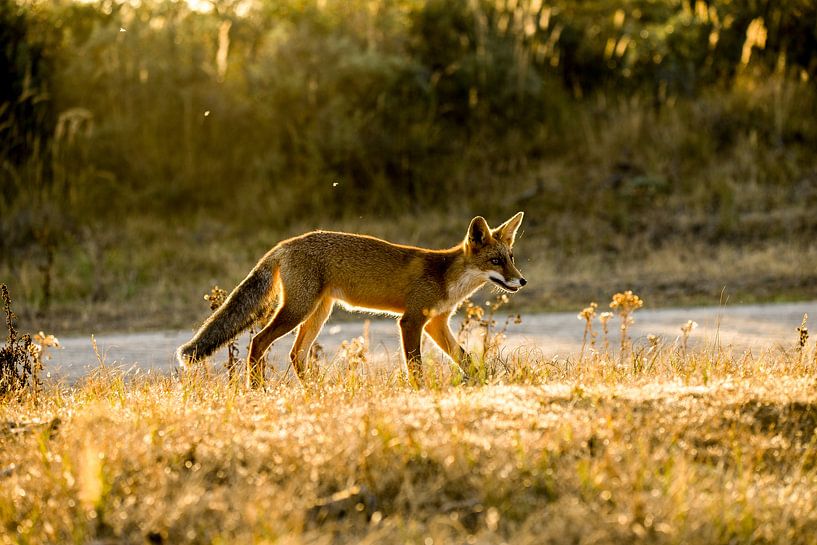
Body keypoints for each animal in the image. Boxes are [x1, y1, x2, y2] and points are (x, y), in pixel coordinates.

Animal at [176, 212, 526, 388]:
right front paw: (420, 393)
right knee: (258, 342)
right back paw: (258, 389)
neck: (445, 278)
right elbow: (415, 366)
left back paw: (315, 392)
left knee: (295, 354)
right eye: (495, 261)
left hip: (319, 313)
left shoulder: (436, 323)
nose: (521, 281)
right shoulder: (411, 321)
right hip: (297, 310)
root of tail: (286, 243)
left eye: (511, 258)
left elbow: (465, 358)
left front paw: (485, 382)